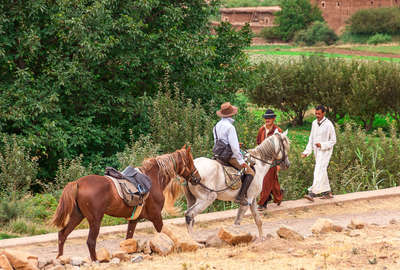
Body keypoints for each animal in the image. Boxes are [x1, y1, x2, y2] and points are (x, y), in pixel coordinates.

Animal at [51, 146, 200, 262]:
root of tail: (77, 183)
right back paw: (95, 261)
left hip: (77, 216)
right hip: (95, 219)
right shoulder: (156, 216)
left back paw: (60, 258)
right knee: (90, 241)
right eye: (190, 161)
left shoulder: (134, 220)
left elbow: (128, 238)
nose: (197, 178)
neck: (153, 179)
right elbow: (162, 235)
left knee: (62, 235)